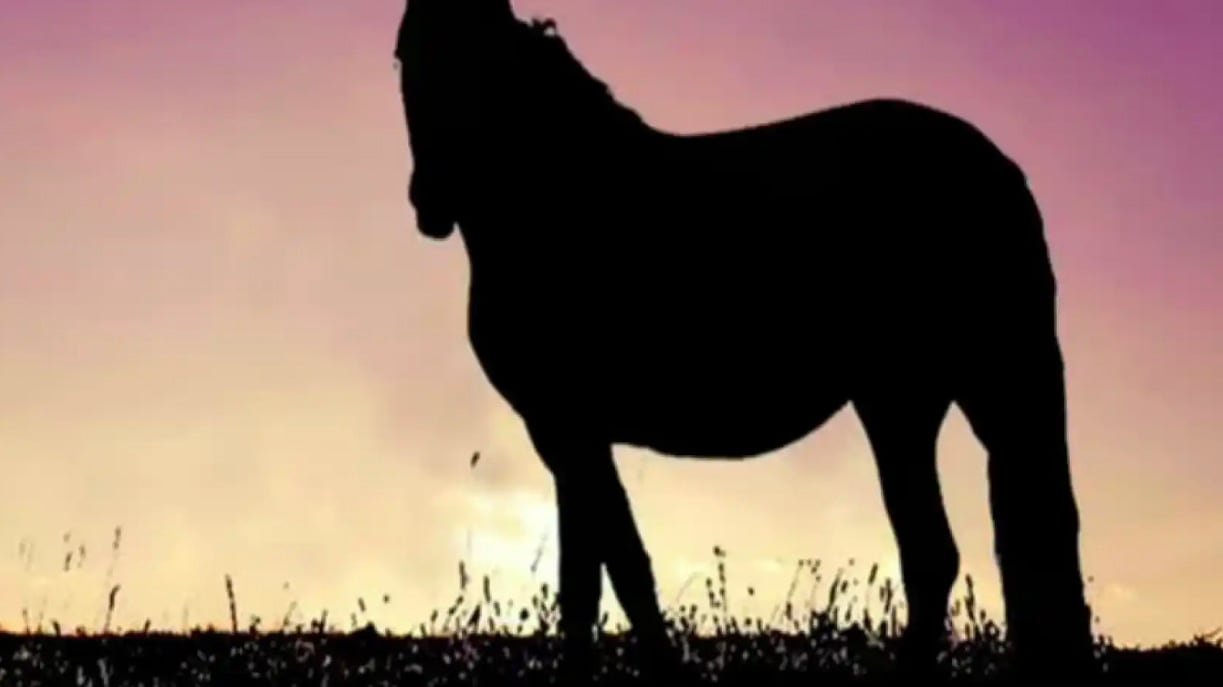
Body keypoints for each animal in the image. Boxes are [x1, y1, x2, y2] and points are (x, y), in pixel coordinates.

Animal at [391, 0, 1096, 680]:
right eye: (405, 53)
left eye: (487, 60)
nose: (430, 202)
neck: (556, 199)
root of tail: (997, 167)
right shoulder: (567, 431)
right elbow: (586, 583)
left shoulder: (568, 427)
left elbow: (620, 569)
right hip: (921, 403)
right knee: (956, 550)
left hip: (945, 393)